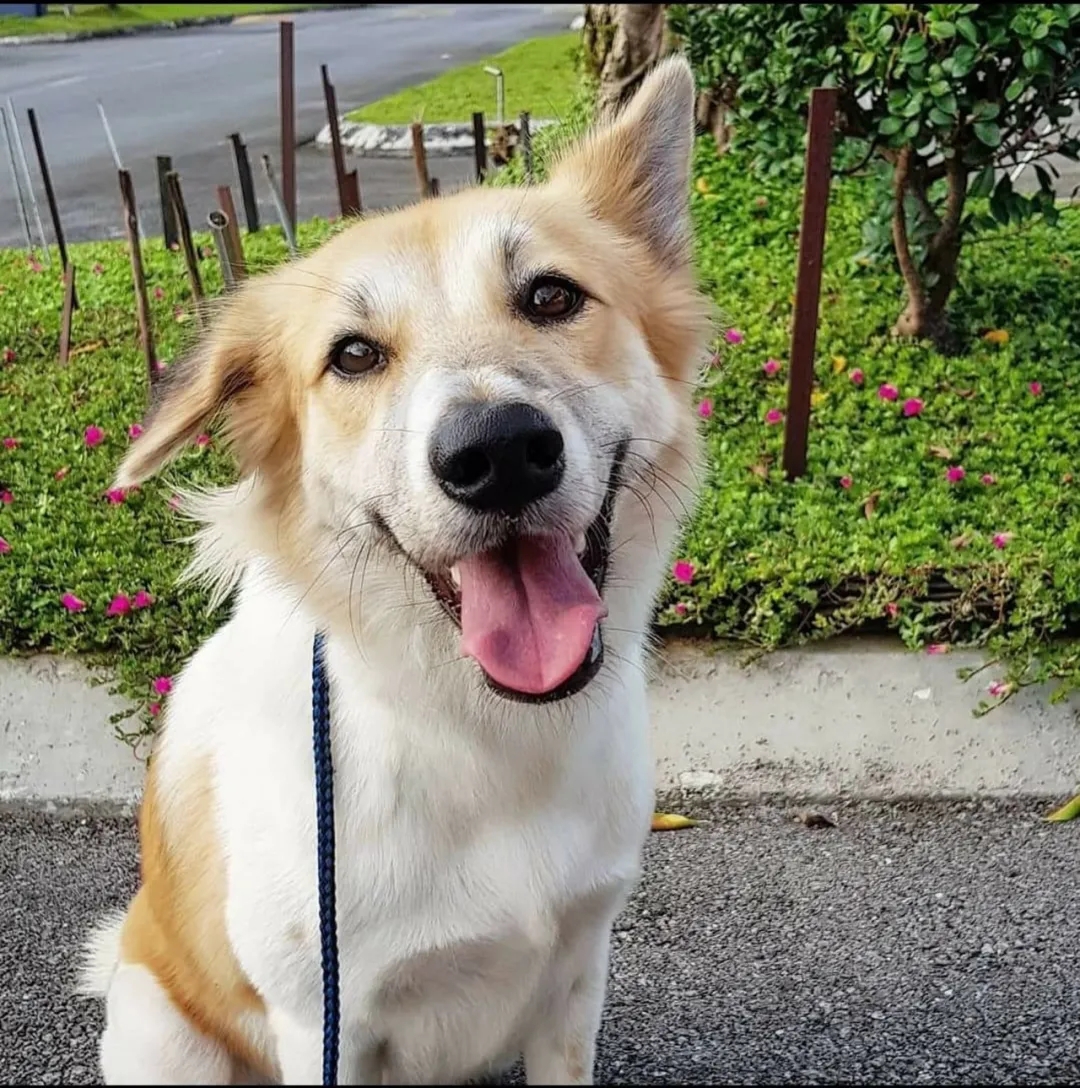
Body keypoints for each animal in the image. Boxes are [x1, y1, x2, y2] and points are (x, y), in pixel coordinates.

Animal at [79, 55, 710, 1085]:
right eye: (353, 356)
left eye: (551, 297)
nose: (498, 454)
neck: (480, 731)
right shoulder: (324, 1025)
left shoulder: (575, 983)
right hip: (164, 1032)